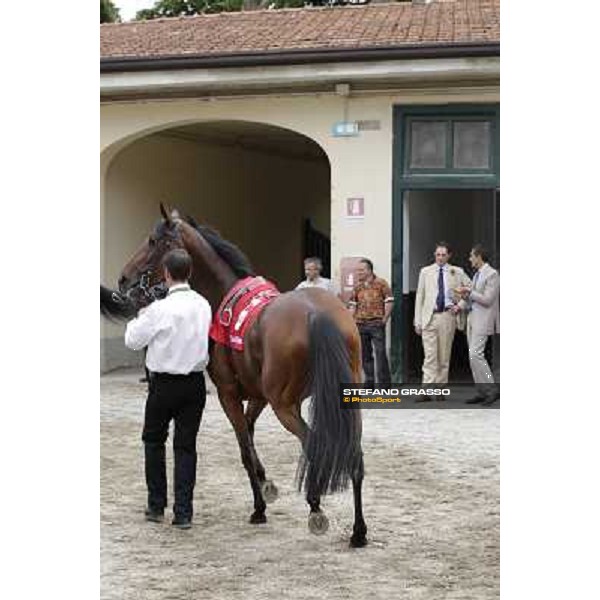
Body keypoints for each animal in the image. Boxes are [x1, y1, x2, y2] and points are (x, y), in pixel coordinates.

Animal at [112, 205, 368, 548]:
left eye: (153, 241)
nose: (124, 278)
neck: (223, 295)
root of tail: (316, 313)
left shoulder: (228, 394)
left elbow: (244, 446)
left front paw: (259, 507)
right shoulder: (257, 395)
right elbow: (249, 432)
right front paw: (266, 484)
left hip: (285, 406)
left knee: (315, 443)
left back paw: (316, 507)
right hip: (346, 401)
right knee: (353, 454)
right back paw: (358, 530)